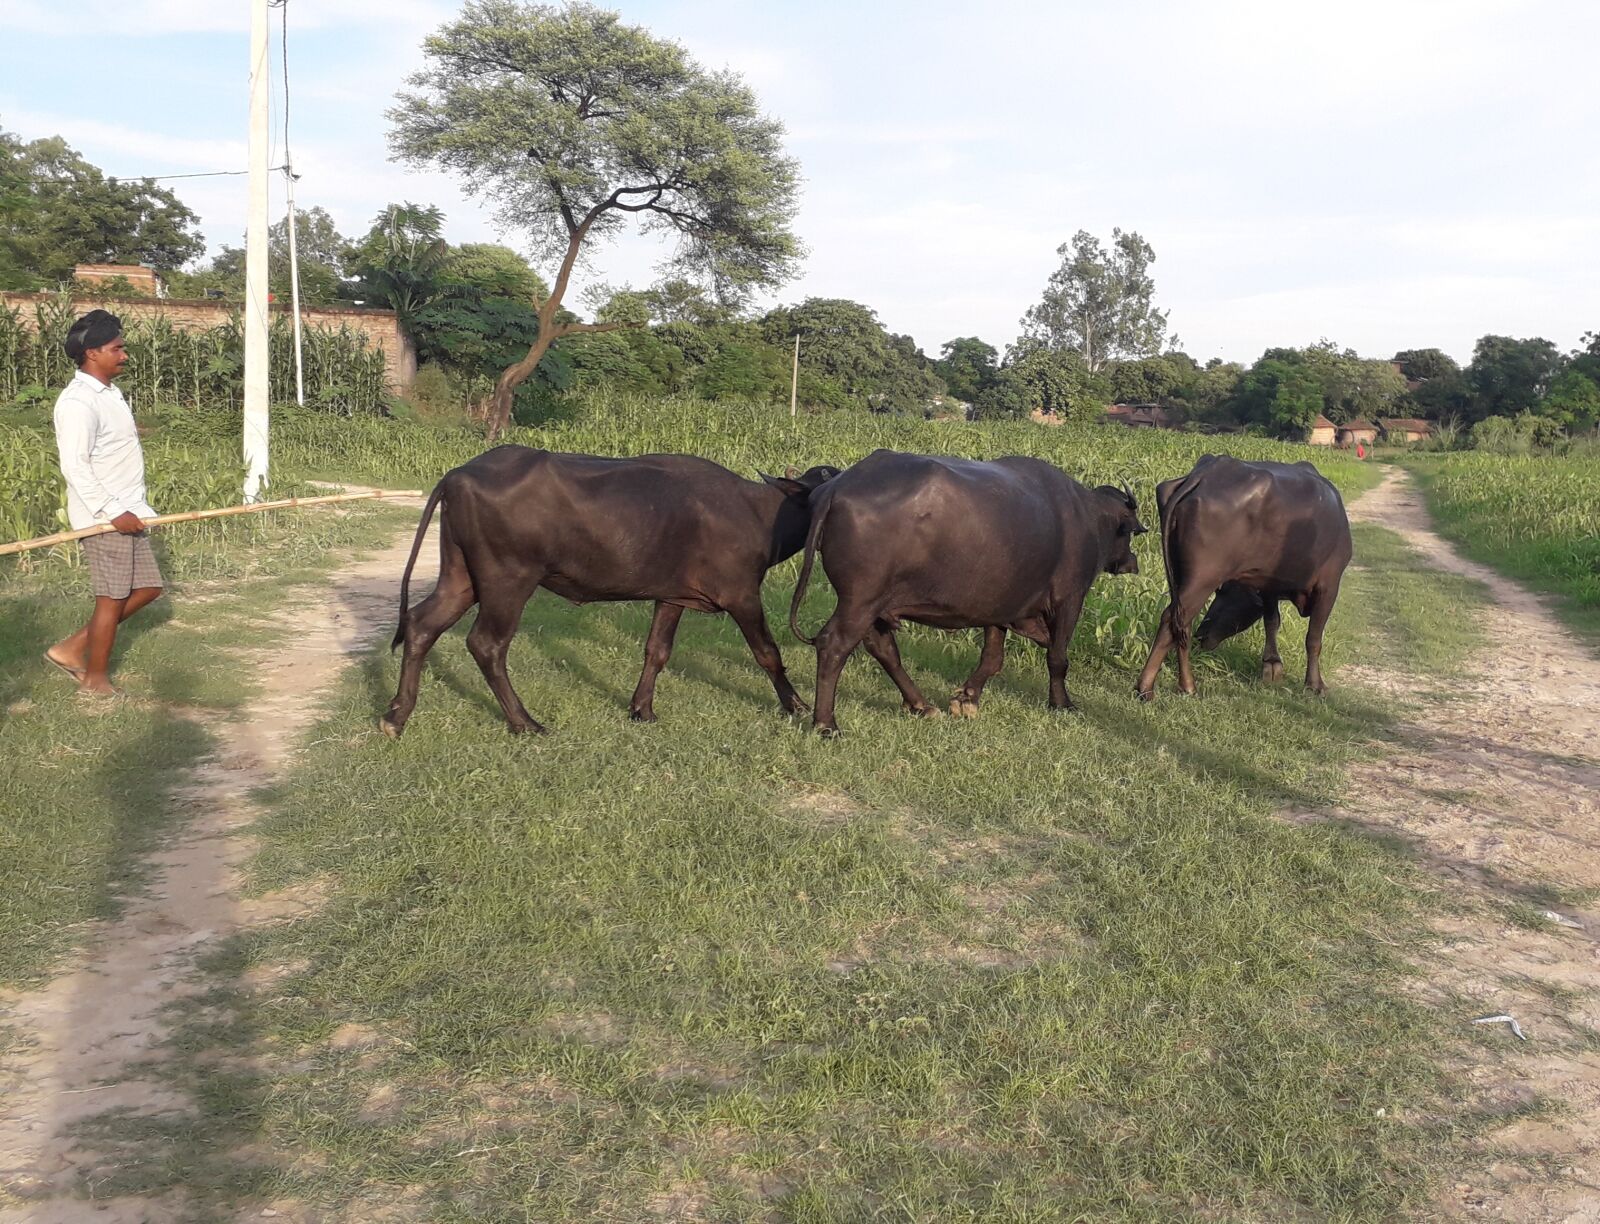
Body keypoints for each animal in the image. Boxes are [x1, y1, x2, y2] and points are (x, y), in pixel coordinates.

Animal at [381, 447, 839, 736]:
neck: (758, 513)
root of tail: (460, 474)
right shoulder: (742, 596)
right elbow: (767, 653)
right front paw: (796, 705)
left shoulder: (671, 596)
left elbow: (657, 651)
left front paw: (642, 709)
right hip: (507, 580)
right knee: (486, 644)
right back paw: (524, 722)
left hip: (461, 576)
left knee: (421, 624)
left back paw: (396, 715)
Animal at [788, 449, 1147, 735]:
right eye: (1129, 531)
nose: (1131, 562)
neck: (1087, 518)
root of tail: (837, 488)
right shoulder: (1069, 599)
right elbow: (1058, 657)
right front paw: (1062, 703)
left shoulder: (1000, 608)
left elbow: (993, 658)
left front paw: (967, 698)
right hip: (860, 601)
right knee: (834, 645)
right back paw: (826, 724)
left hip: (874, 606)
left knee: (883, 648)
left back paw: (920, 705)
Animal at [1134, 454, 1352, 700]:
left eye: (1224, 592)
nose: (1203, 636)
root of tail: (1206, 473)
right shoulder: (1329, 585)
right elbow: (1313, 638)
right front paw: (1315, 684)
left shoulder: (1269, 585)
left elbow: (1272, 622)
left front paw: (1272, 665)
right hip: (1202, 578)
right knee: (1172, 619)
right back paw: (1150, 687)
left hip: (1180, 576)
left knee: (1181, 623)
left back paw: (1183, 684)